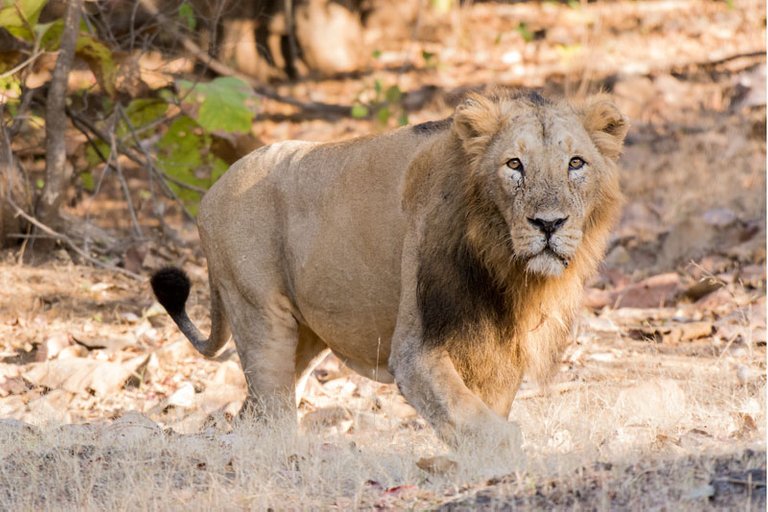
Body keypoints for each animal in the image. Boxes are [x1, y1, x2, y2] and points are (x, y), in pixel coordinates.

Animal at [148, 90, 624, 446]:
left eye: (575, 163)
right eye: (514, 164)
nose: (549, 224)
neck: (502, 266)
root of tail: (213, 190)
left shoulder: (500, 344)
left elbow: (482, 413)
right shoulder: (417, 347)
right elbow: (479, 424)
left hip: (306, 335)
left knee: (253, 416)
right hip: (262, 318)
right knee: (274, 414)